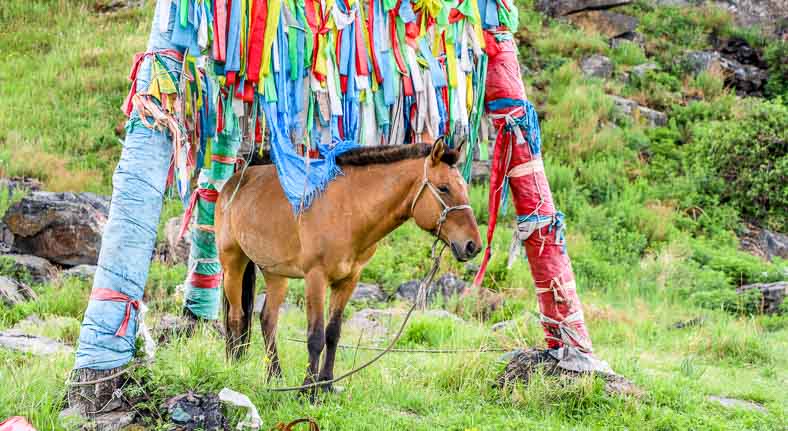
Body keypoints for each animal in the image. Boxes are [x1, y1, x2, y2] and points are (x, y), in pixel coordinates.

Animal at [212, 139, 480, 394]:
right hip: (233, 264)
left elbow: (333, 333)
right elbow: (316, 337)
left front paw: (326, 385)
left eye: (464, 188)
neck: (349, 210)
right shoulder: (316, 278)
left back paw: (275, 377)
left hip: (275, 274)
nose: (472, 246)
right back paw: (234, 365)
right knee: (236, 317)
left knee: (267, 320)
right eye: (444, 188)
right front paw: (307, 391)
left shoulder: (349, 280)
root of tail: (233, 182)